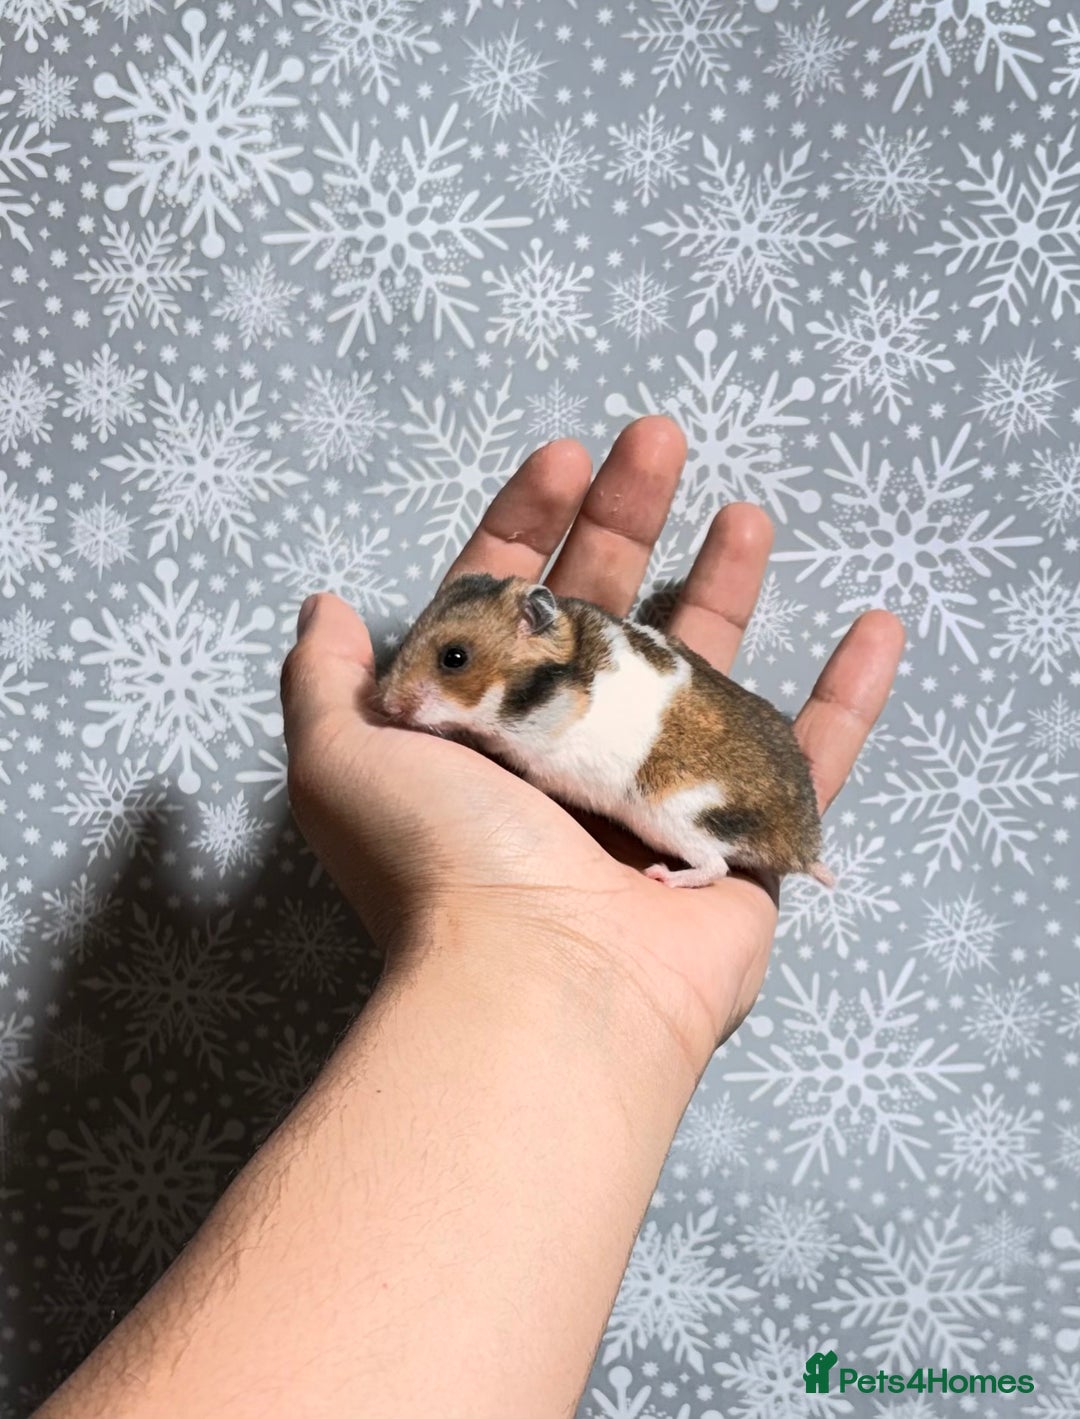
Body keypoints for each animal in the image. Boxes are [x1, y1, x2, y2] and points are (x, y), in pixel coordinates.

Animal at [376, 572, 835, 890]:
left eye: (455, 657)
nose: (383, 704)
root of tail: (802, 844)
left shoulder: (547, 769)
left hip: (679, 817)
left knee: (715, 867)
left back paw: (660, 875)